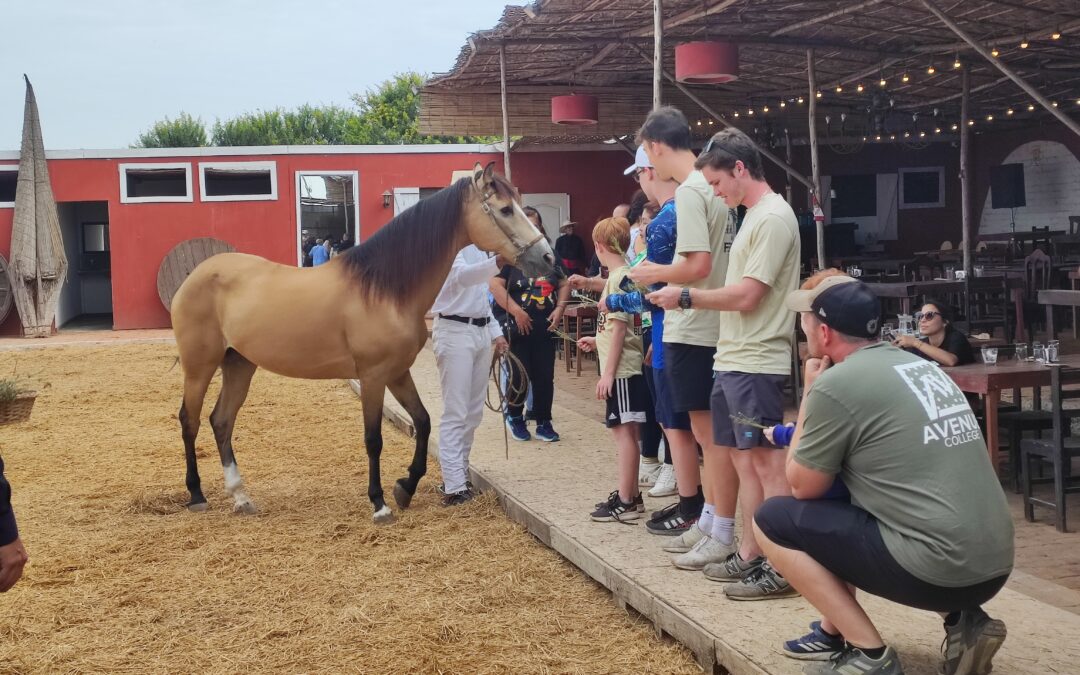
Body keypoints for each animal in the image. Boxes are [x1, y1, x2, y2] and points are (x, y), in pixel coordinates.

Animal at [170, 162, 554, 523]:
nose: (548, 258)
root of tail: (195, 275)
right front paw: (380, 504)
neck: (384, 290)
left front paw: (405, 487)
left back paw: (240, 496)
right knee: (189, 420)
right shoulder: (372, 376)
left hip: (239, 363)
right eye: (505, 210)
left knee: (221, 421)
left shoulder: (397, 373)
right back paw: (197, 495)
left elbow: (424, 422)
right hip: (200, 366)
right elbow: (374, 439)